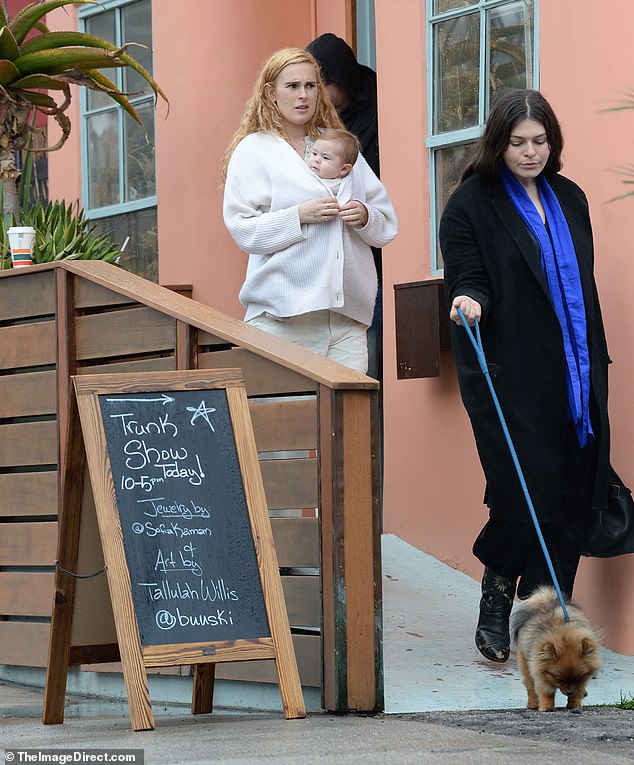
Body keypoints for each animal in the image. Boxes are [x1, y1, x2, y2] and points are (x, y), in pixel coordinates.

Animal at [508, 584, 604, 712]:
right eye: (559, 679)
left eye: (577, 678)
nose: (569, 692)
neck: (564, 634)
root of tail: (544, 601)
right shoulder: (541, 674)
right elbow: (546, 692)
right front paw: (547, 707)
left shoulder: (582, 680)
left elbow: (578, 691)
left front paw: (575, 704)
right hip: (526, 665)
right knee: (530, 685)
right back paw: (532, 703)